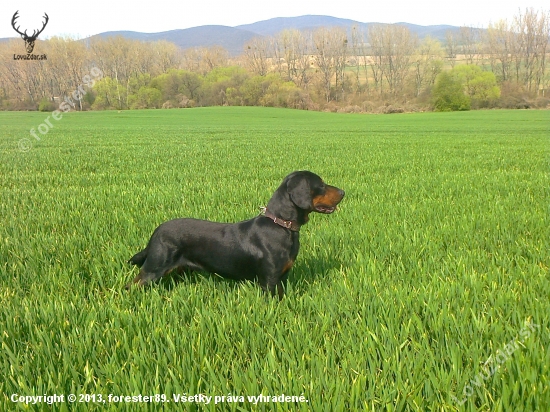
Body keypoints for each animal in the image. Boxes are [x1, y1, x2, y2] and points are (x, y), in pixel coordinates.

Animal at [127, 171, 348, 300]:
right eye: (321, 184)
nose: (344, 192)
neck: (281, 225)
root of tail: (157, 231)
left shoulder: (282, 277)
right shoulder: (269, 279)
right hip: (154, 267)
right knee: (133, 284)